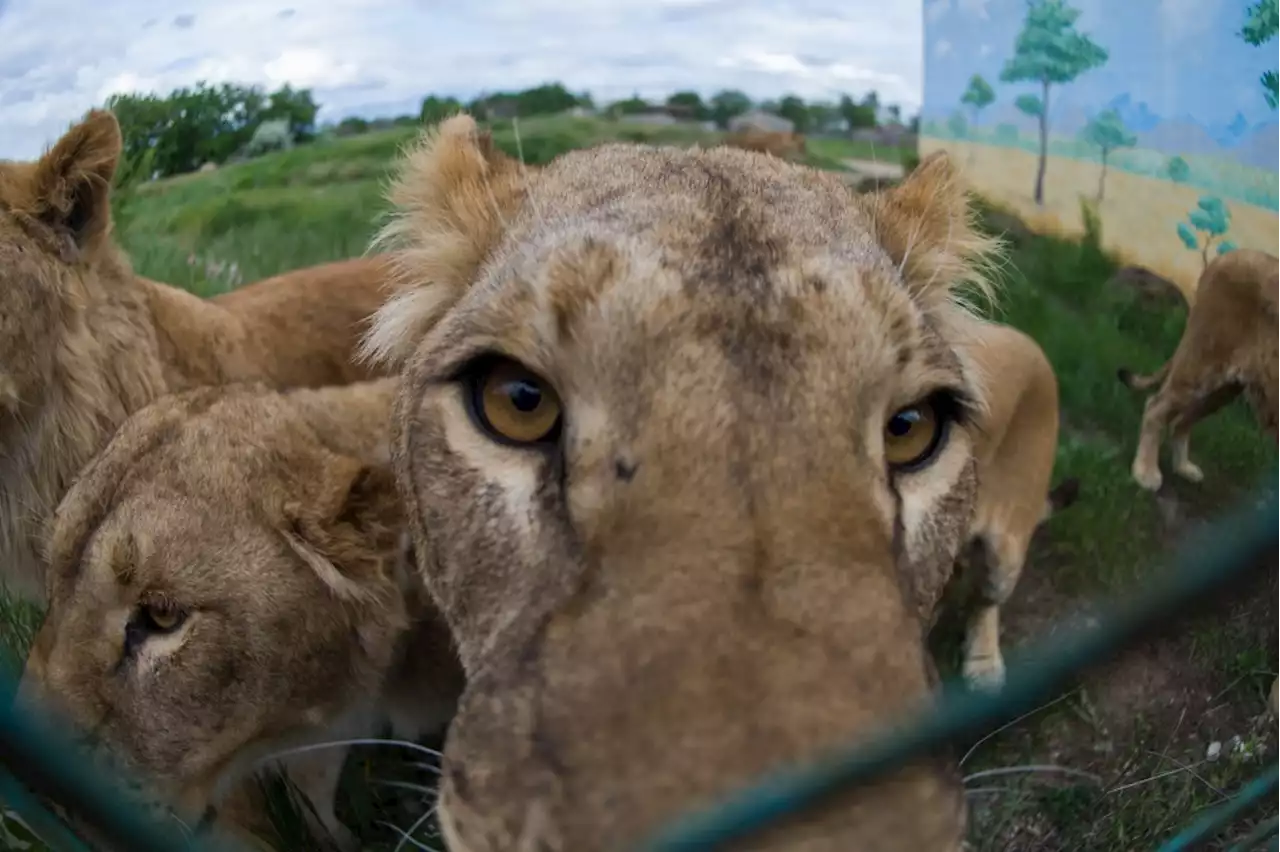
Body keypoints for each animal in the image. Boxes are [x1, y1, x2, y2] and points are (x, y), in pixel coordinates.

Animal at [1121, 245, 1280, 488]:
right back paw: (1145, 473)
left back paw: (1183, 467)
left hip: (1223, 391)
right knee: (1156, 406)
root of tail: (1229, 255)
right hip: (1202, 366)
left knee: (1181, 422)